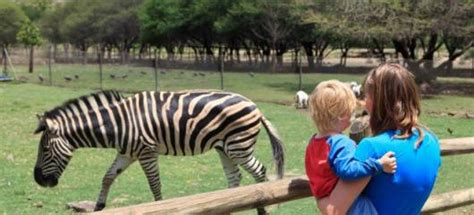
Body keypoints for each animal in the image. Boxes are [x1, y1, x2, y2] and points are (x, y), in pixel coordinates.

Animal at [35, 89, 286, 213]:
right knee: (235, 177)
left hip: (238, 146)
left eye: (45, 149)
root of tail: (255, 106)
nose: (38, 180)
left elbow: (154, 184)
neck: (118, 124)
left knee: (259, 172)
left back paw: (262, 210)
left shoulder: (147, 152)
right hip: (224, 148)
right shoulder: (127, 153)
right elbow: (107, 177)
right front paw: (98, 207)